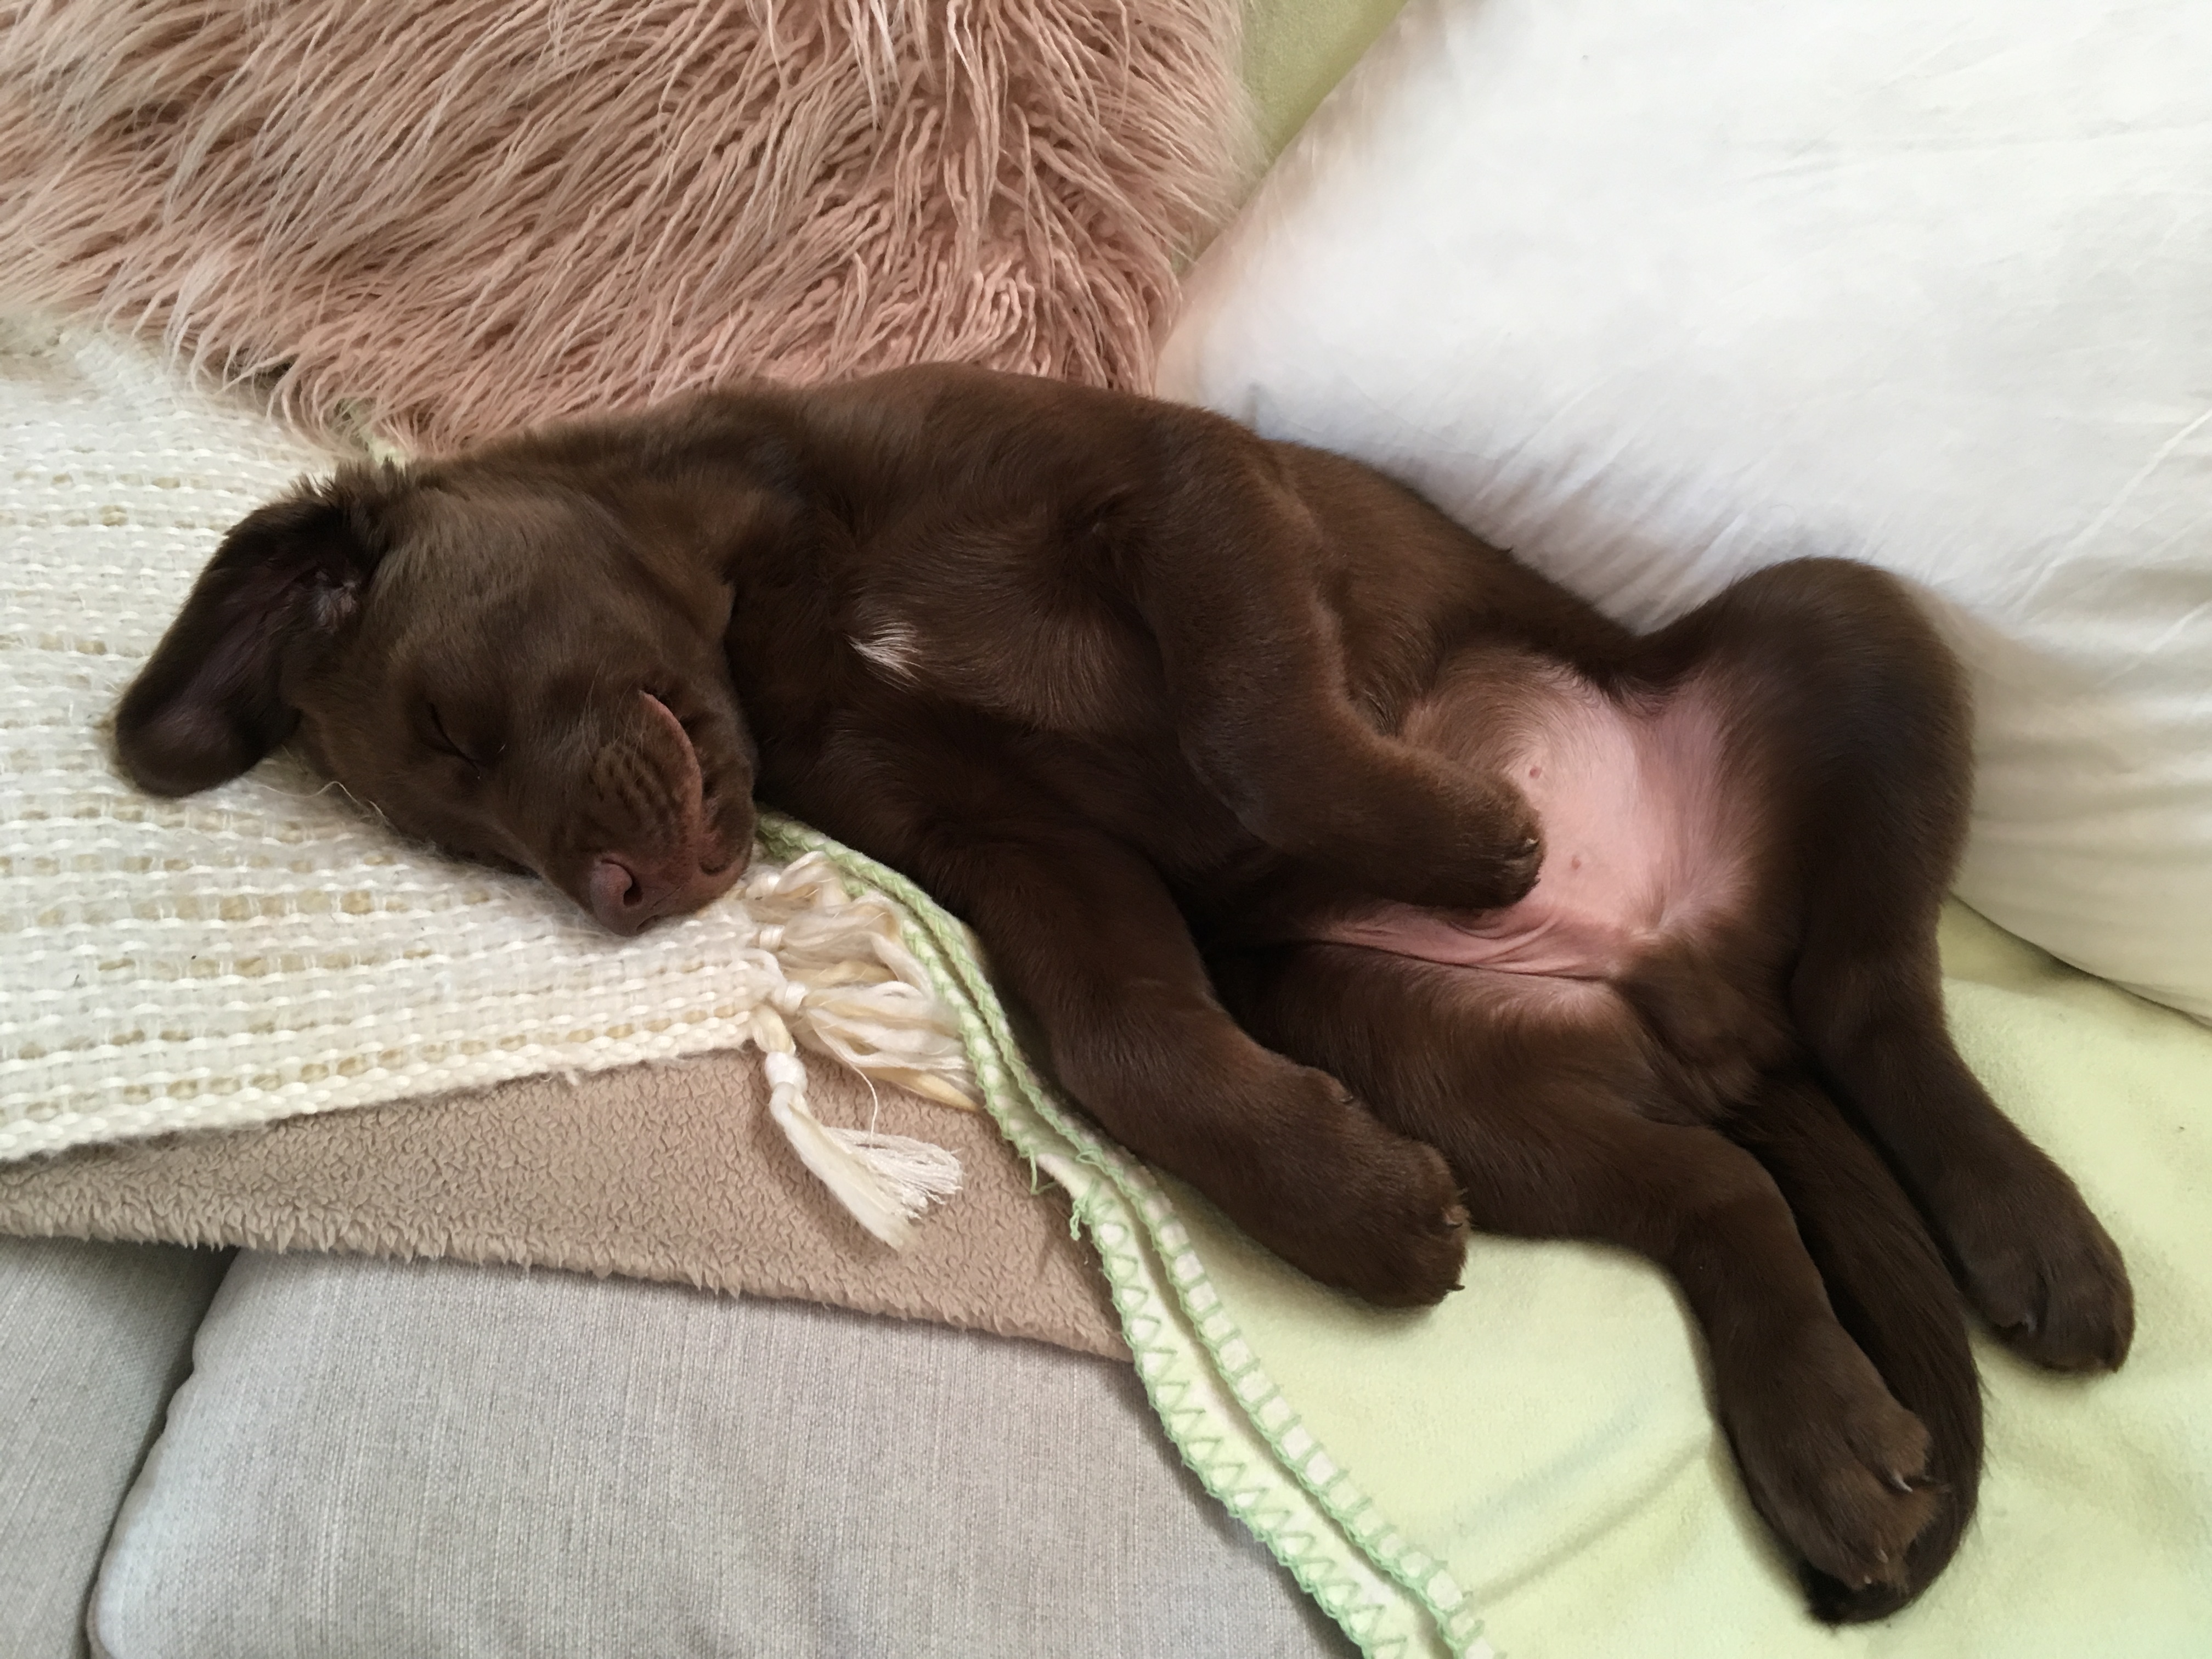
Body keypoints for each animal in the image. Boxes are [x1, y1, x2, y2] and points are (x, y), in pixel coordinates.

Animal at [114, 365, 2132, 1618]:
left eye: (458, 722)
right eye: (450, 838)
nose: (611, 902)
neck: (783, 604)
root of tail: (1682, 980)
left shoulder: (1175, 489)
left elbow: (1257, 724)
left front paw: (1455, 829)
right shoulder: (1029, 854)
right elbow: (1122, 1037)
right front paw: (1346, 1204)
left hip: (1846, 622)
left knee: (1875, 997)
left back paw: (2039, 1240)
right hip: (1404, 1037)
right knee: (1717, 1185)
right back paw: (1827, 1440)